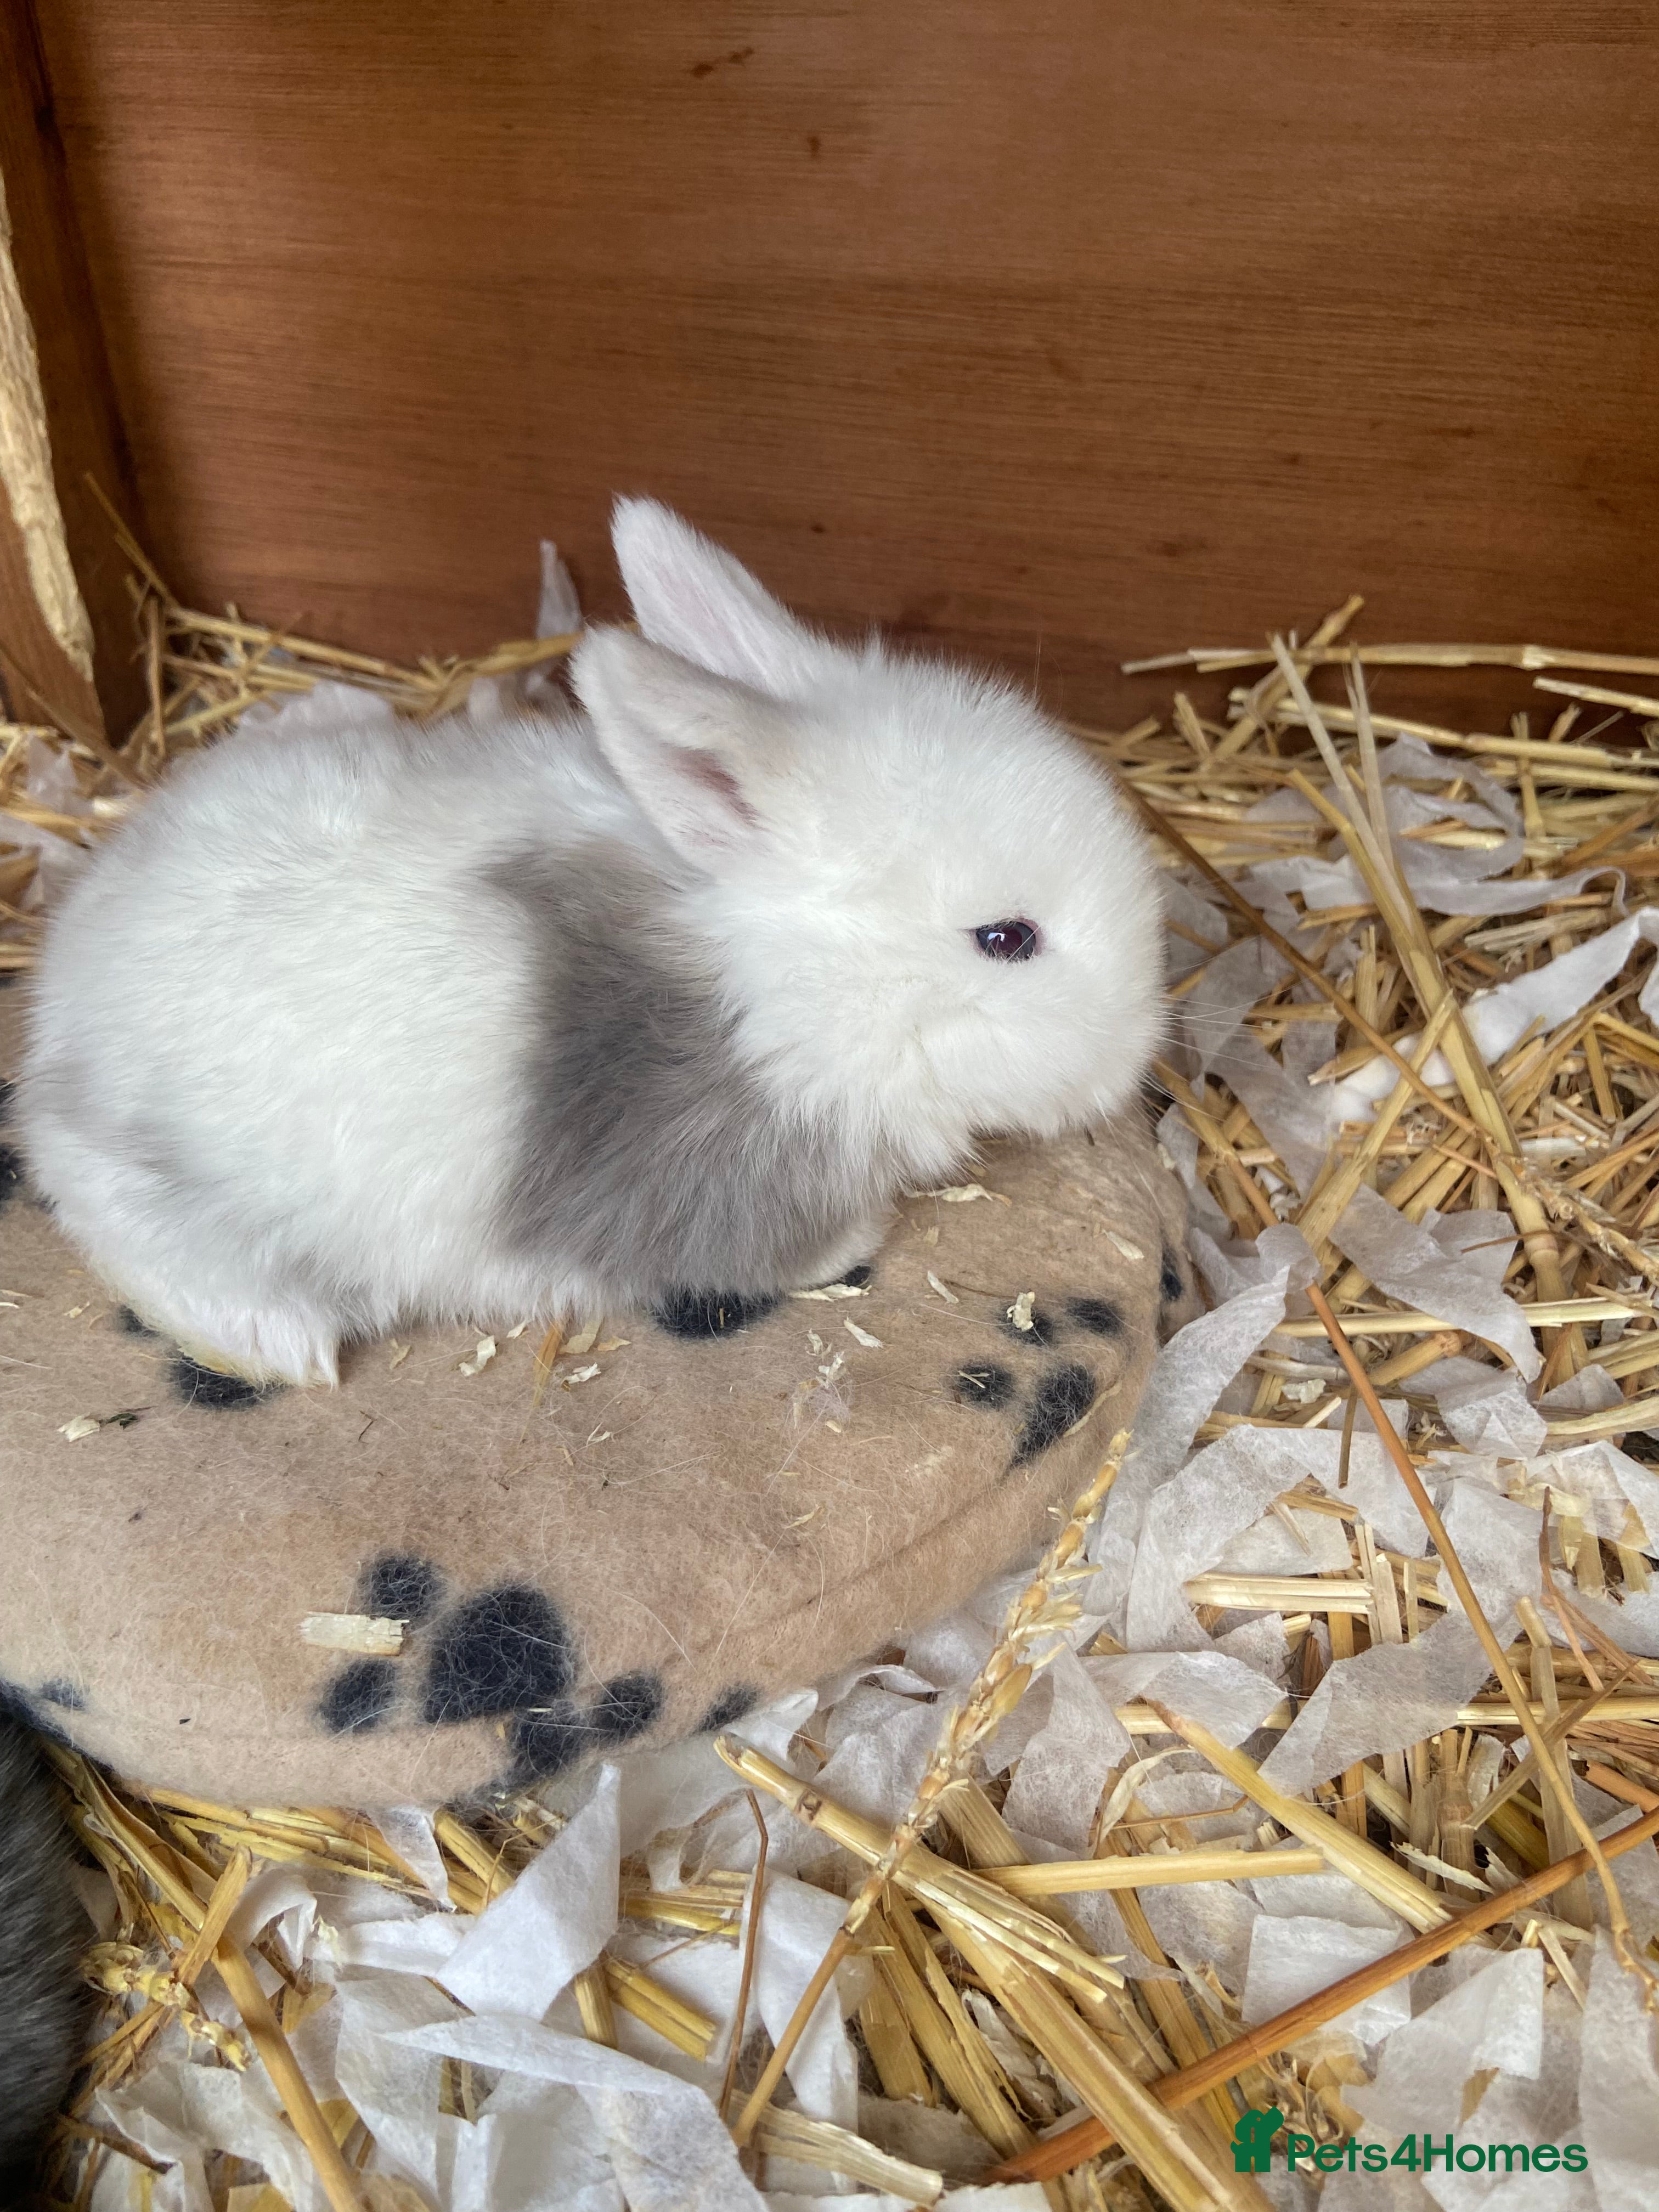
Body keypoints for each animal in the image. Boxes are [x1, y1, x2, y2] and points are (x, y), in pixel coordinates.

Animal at [18, 500, 1165, 1386]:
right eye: (1004, 938)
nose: (1139, 1050)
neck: (783, 983)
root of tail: (55, 1015)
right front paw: (853, 1243)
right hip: (169, 1186)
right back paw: (277, 1343)